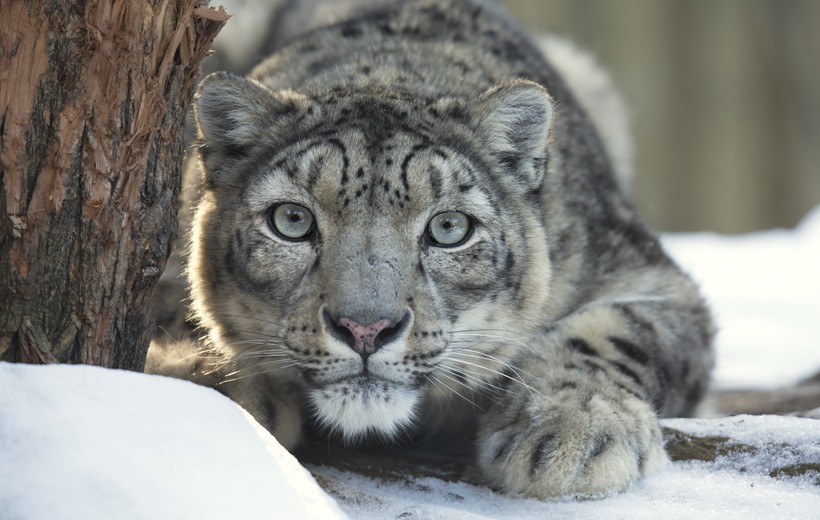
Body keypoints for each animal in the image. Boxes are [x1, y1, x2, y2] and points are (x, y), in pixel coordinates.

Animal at [147, 0, 712, 500]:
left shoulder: (647, 276)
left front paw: (571, 434)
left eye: (448, 228)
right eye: (292, 220)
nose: (366, 329)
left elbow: (617, 334)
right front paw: (213, 383)